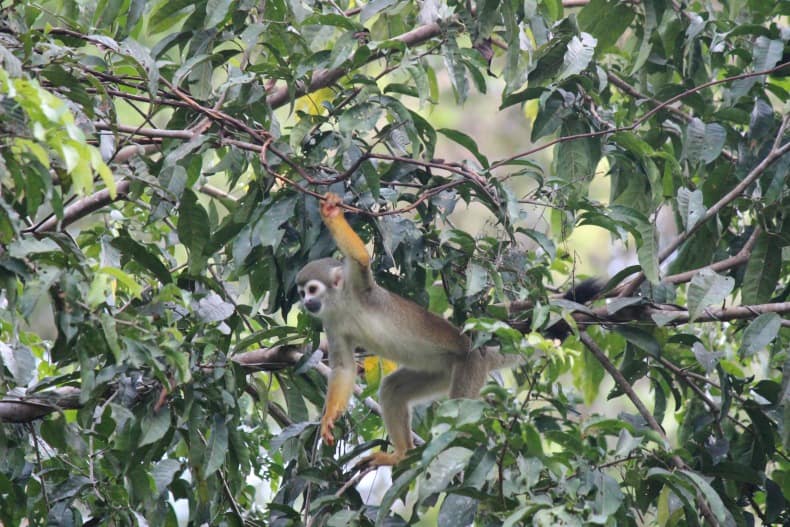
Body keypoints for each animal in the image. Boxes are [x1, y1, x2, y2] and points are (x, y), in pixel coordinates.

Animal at [296, 193, 512, 466]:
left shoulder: (358, 284)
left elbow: (361, 259)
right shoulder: (331, 321)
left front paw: (331, 213)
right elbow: (344, 368)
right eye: (302, 293)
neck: (340, 301)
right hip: (442, 371)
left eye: (312, 290)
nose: (306, 302)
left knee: (458, 412)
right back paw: (401, 455)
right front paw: (329, 418)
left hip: (471, 365)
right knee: (393, 389)